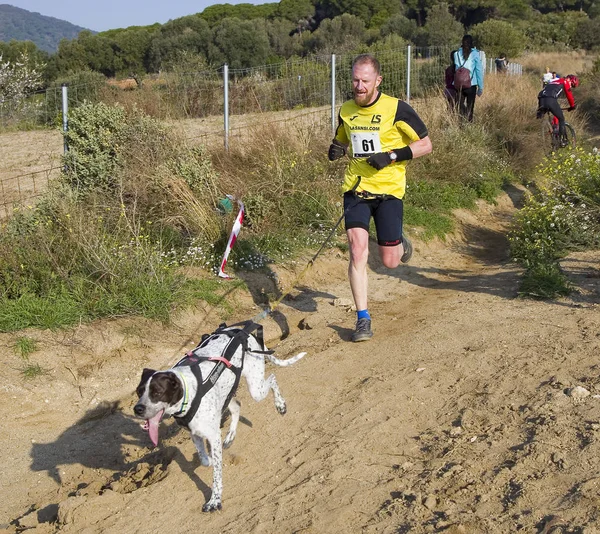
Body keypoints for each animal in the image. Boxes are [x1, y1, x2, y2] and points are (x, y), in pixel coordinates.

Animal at [134, 320, 308, 512]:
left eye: (157, 392)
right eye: (139, 391)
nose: (137, 409)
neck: (189, 391)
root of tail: (244, 333)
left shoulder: (212, 435)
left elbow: (216, 476)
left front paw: (215, 500)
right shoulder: (196, 433)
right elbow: (204, 459)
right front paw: (208, 458)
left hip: (256, 389)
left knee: (273, 378)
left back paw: (280, 404)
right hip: (227, 394)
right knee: (237, 407)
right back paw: (230, 436)